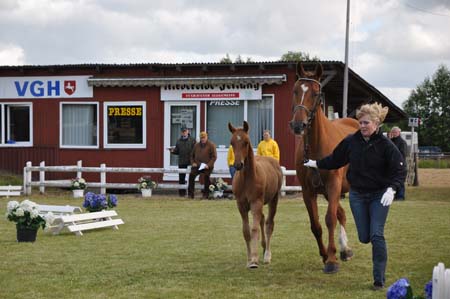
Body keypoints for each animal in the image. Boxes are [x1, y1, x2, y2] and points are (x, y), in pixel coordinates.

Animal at [229, 122, 282, 270]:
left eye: (246, 142)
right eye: (232, 142)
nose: (238, 164)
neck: (247, 179)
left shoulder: (255, 203)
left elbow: (254, 229)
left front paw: (254, 260)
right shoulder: (241, 205)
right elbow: (246, 231)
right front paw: (249, 259)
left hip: (273, 199)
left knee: (269, 224)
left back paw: (267, 255)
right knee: (263, 219)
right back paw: (263, 249)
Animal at [290, 63, 360, 274]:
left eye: (315, 93)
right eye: (295, 90)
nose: (298, 125)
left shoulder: (333, 185)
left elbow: (330, 219)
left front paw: (331, 260)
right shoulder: (308, 191)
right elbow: (316, 225)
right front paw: (325, 254)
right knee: (341, 214)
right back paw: (345, 249)